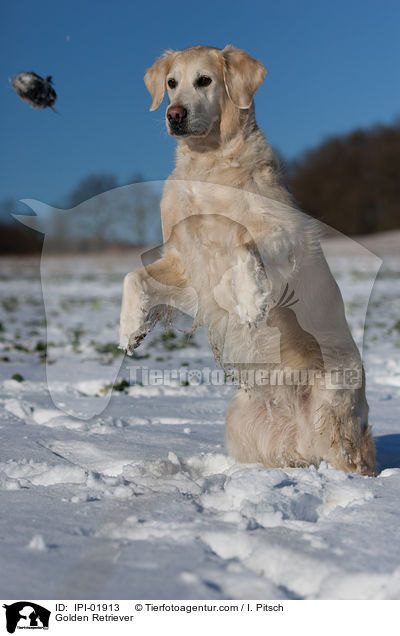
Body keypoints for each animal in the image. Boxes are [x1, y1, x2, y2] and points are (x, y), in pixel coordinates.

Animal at [119, 44, 376, 474]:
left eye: (204, 80)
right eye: (171, 83)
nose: (175, 114)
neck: (208, 163)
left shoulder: (285, 234)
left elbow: (243, 249)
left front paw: (250, 302)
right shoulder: (187, 264)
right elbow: (133, 277)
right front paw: (130, 329)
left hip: (333, 401)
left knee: (351, 457)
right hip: (241, 418)